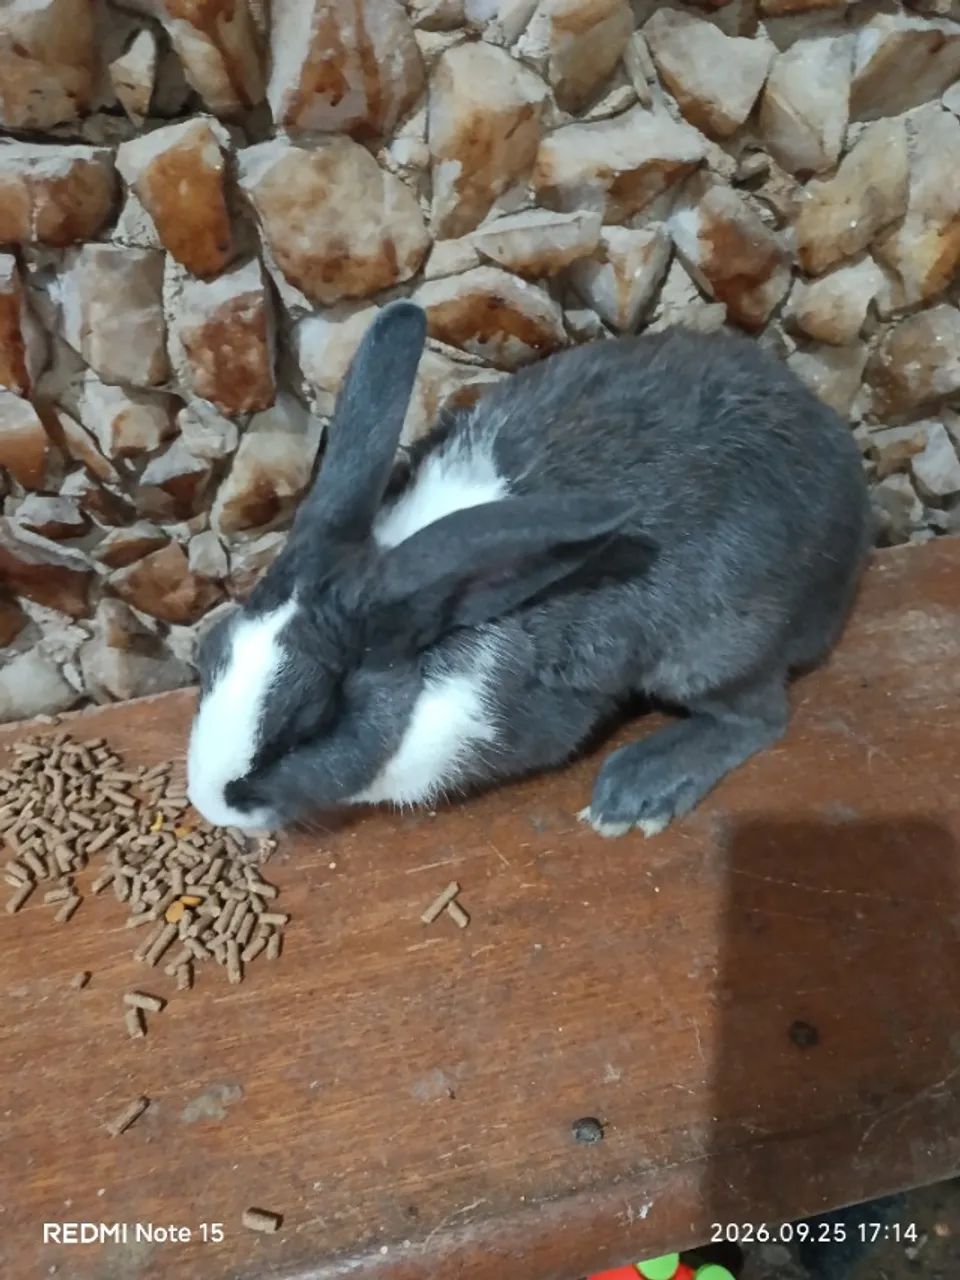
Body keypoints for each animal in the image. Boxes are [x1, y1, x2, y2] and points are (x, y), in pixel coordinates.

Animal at [187, 300, 872, 836]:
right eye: (210, 654)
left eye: (311, 723)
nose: (210, 804)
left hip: (714, 647)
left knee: (757, 717)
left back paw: (636, 790)